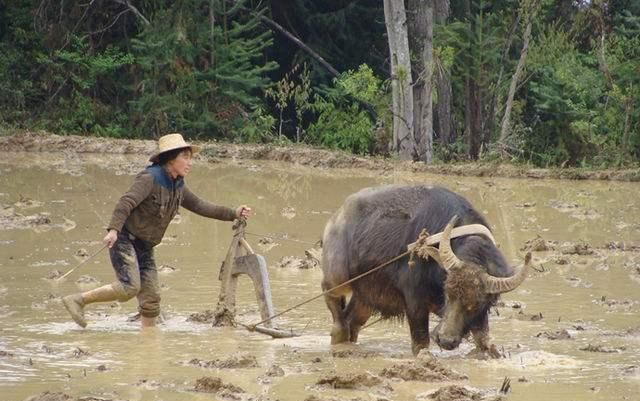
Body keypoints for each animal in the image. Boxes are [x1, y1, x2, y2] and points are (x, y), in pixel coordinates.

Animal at [320, 183, 528, 354]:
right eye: (448, 293)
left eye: (476, 303)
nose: (445, 340)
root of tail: (336, 217)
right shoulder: (415, 301)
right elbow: (421, 343)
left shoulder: (479, 318)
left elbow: (485, 342)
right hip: (337, 277)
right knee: (334, 307)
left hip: (367, 295)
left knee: (352, 321)